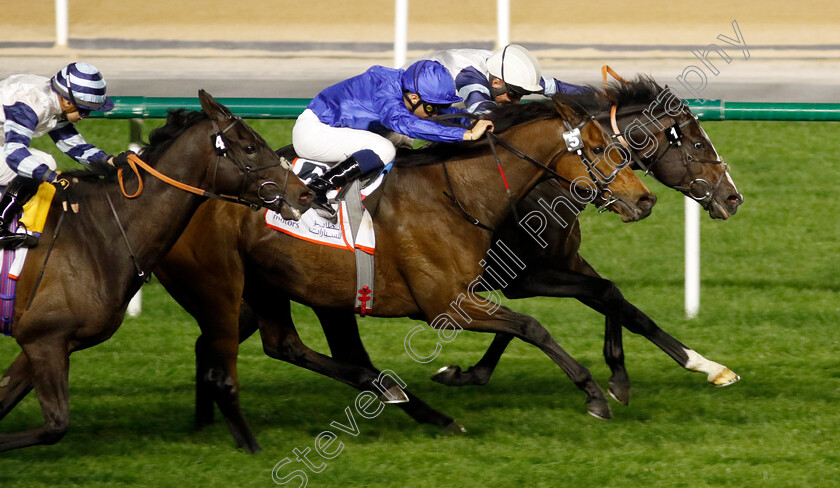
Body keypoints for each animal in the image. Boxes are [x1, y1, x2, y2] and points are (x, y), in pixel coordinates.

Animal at [0, 91, 312, 454]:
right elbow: (55, 425)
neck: (96, 232)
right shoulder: (44, 339)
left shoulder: (49, 341)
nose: (304, 193)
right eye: (250, 147)